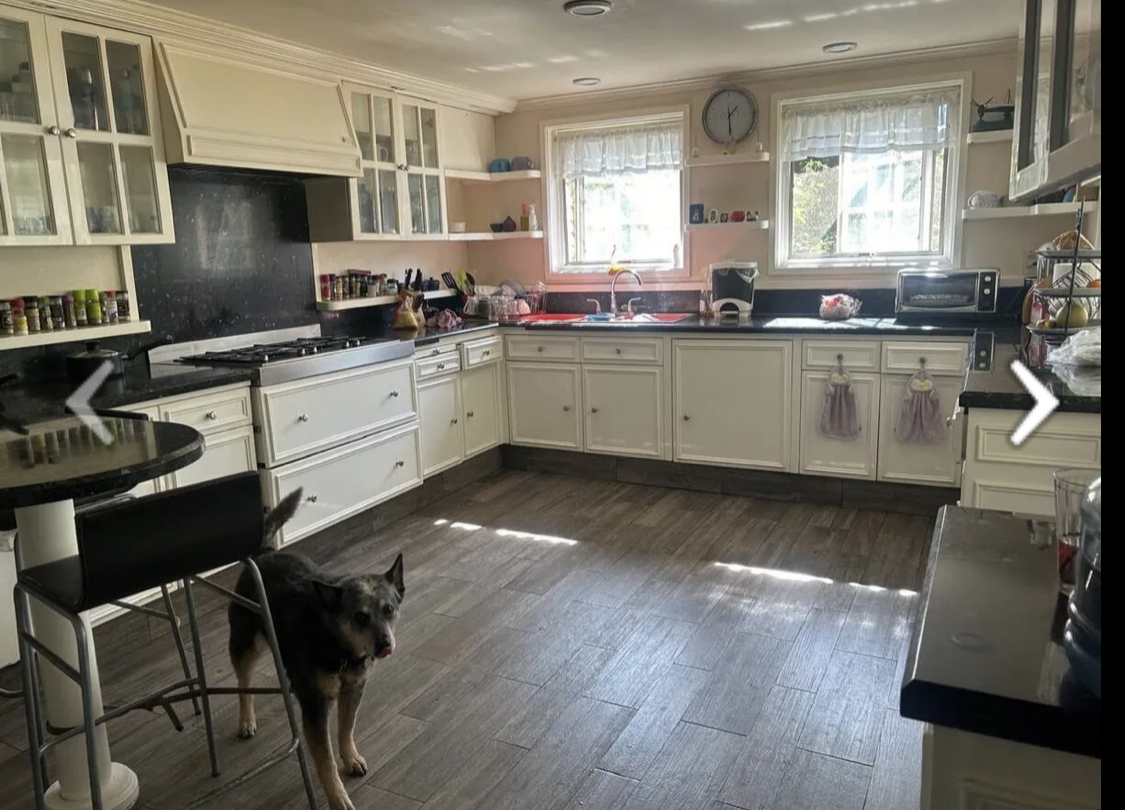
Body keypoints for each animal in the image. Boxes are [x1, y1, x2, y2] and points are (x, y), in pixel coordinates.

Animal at [228, 488, 404, 810]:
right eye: (360, 617)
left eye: (390, 609)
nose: (385, 644)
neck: (335, 643)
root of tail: (266, 552)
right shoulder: (315, 707)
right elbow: (325, 761)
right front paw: (339, 798)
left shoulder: (353, 689)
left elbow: (346, 728)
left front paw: (351, 758)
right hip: (246, 642)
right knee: (243, 683)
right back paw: (246, 720)